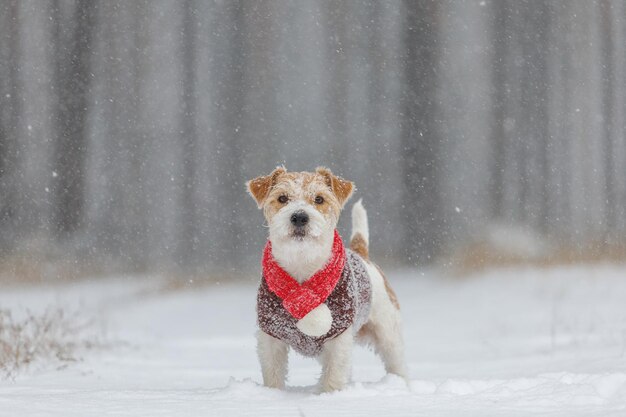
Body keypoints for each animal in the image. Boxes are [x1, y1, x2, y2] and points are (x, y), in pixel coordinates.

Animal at [246, 165, 408, 390]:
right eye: (282, 198)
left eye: (319, 199)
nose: (299, 217)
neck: (303, 264)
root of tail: (361, 254)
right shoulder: (270, 336)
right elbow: (273, 374)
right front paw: (272, 394)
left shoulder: (338, 336)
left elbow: (334, 375)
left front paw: (329, 395)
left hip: (387, 332)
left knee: (397, 362)